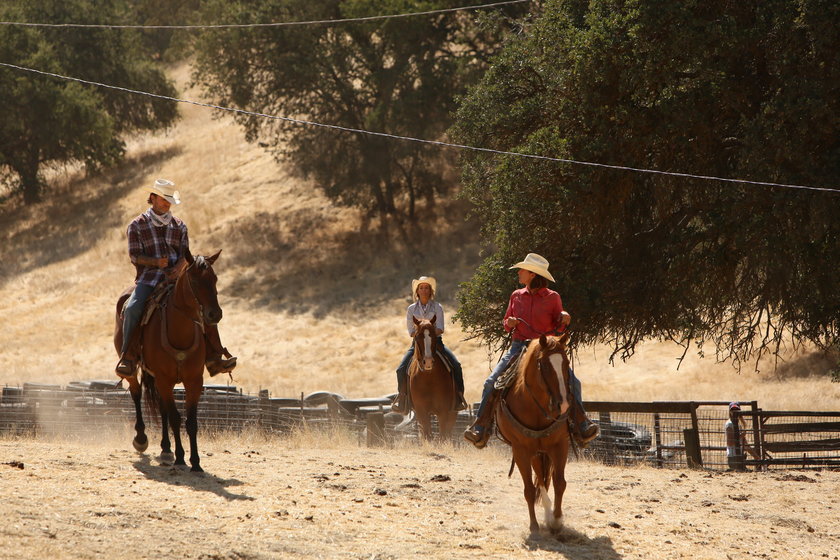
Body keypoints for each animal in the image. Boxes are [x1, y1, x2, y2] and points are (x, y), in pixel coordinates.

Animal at [113, 249, 223, 472]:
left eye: (214, 279)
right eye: (194, 281)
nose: (214, 314)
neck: (179, 332)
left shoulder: (193, 381)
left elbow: (190, 422)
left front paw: (196, 462)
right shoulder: (164, 379)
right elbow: (175, 418)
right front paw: (181, 458)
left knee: (162, 407)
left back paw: (165, 448)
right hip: (136, 370)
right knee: (136, 393)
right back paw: (141, 438)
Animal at [496, 332, 576, 532]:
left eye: (566, 363)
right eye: (544, 365)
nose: (563, 404)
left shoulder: (560, 445)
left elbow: (559, 482)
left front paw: (557, 520)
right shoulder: (521, 450)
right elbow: (529, 490)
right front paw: (534, 525)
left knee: (544, 478)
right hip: (534, 453)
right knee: (539, 480)